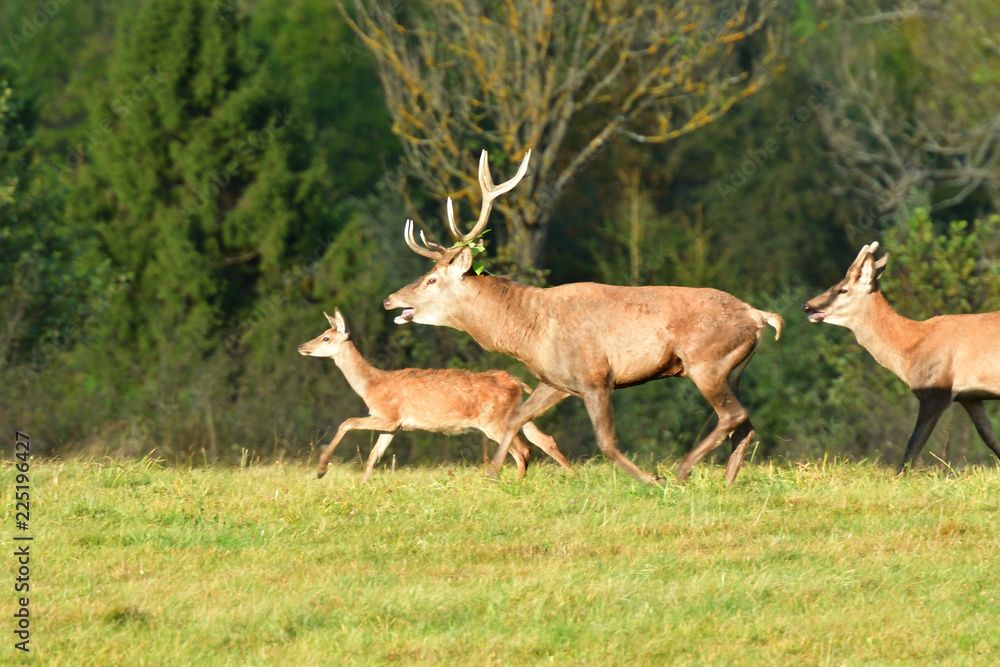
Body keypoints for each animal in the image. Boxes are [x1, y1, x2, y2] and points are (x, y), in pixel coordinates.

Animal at [298, 309, 573, 482]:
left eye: (326, 337)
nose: (302, 346)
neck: (370, 384)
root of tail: (515, 382)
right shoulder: (393, 425)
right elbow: (373, 457)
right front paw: (363, 486)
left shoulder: (388, 415)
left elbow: (347, 422)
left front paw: (321, 471)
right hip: (514, 414)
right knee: (544, 440)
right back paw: (571, 475)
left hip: (492, 420)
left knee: (522, 449)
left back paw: (515, 483)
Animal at [383, 150, 783, 486]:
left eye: (432, 279)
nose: (389, 300)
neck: (528, 330)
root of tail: (759, 316)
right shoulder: (556, 381)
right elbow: (517, 417)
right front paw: (494, 475)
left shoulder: (595, 376)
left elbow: (605, 442)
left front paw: (650, 480)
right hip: (732, 369)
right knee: (744, 424)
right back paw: (727, 483)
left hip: (706, 361)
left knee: (732, 416)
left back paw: (682, 472)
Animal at [803, 241, 1000, 473]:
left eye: (842, 289)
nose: (807, 305)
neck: (911, 348)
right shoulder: (970, 396)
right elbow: (989, 436)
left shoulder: (936, 389)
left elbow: (914, 442)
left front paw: (900, 475)